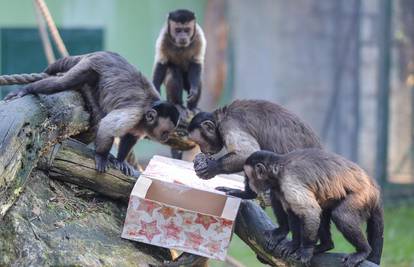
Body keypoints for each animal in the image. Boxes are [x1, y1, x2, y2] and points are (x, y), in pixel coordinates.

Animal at [4, 50, 180, 176]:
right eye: (165, 131)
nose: (166, 137)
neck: (146, 113)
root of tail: (100, 52)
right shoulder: (134, 114)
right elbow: (108, 126)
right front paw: (102, 156)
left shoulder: (141, 125)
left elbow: (130, 136)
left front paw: (120, 160)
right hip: (89, 65)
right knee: (63, 83)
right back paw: (28, 89)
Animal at [188, 100, 324, 253]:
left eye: (200, 142)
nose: (202, 150)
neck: (222, 117)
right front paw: (246, 194)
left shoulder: (229, 124)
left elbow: (247, 153)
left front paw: (211, 168)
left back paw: (282, 230)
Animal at [244, 151, 384, 267]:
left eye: (247, 176)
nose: (247, 182)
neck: (278, 171)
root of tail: (374, 186)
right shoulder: (281, 187)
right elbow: (294, 213)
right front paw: (294, 244)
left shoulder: (289, 182)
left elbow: (310, 212)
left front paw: (306, 250)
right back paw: (326, 245)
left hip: (363, 195)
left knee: (340, 216)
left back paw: (363, 251)